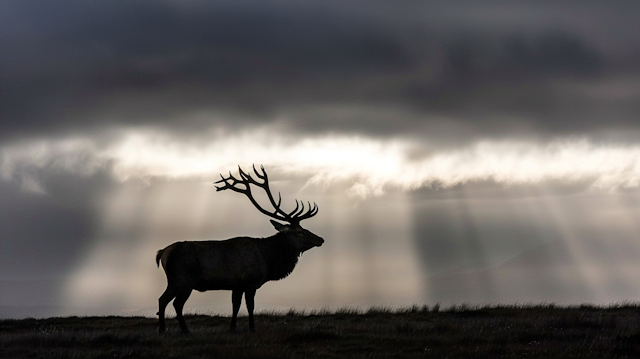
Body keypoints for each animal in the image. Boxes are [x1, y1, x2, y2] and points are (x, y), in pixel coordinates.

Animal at [156, 165, 324, 334]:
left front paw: (232, 328)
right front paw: (252, 328)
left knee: (162, 299)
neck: (268, 258)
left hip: (173, 281)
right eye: (300, 232)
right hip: (184, 279)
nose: (321, 239)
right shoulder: (251, 282)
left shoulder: (236, 285)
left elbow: (235, 306)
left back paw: (163, 329)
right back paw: (185, 330)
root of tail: (162, 253)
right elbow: (250, 307)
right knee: (176, 304)